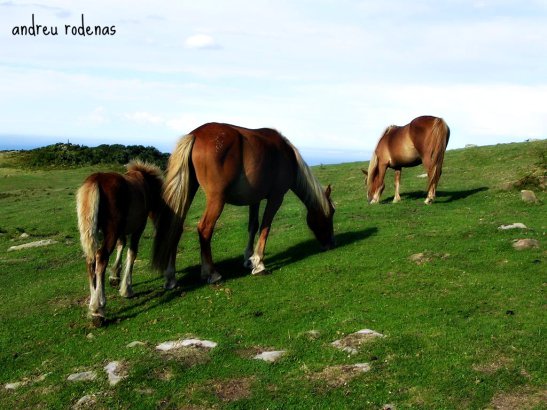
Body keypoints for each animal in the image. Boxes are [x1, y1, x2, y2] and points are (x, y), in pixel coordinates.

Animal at [76, 160, 164, 324]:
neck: (145, 184)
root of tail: (96, 179)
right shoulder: (138, 228)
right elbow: (132, 252)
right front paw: (126, 288)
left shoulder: (121, 230)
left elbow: (121, 245)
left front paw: (115, 275)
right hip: (111, 231)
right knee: (101, 257)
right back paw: (98, 309)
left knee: (91, 260)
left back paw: (92, 303)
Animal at [152, 123, 336, 286]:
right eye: (332, 212)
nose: (331, 244)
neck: (287, 155)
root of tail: (196, 134)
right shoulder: (276, 198)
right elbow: (265, 227)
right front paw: (258, 263)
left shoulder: (255, 199)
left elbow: (253, 226)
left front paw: (248, 259)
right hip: (216, 199)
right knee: (204, 228)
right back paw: (211, 273)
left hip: (187, 192)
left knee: (175, 228)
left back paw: (171, 277)